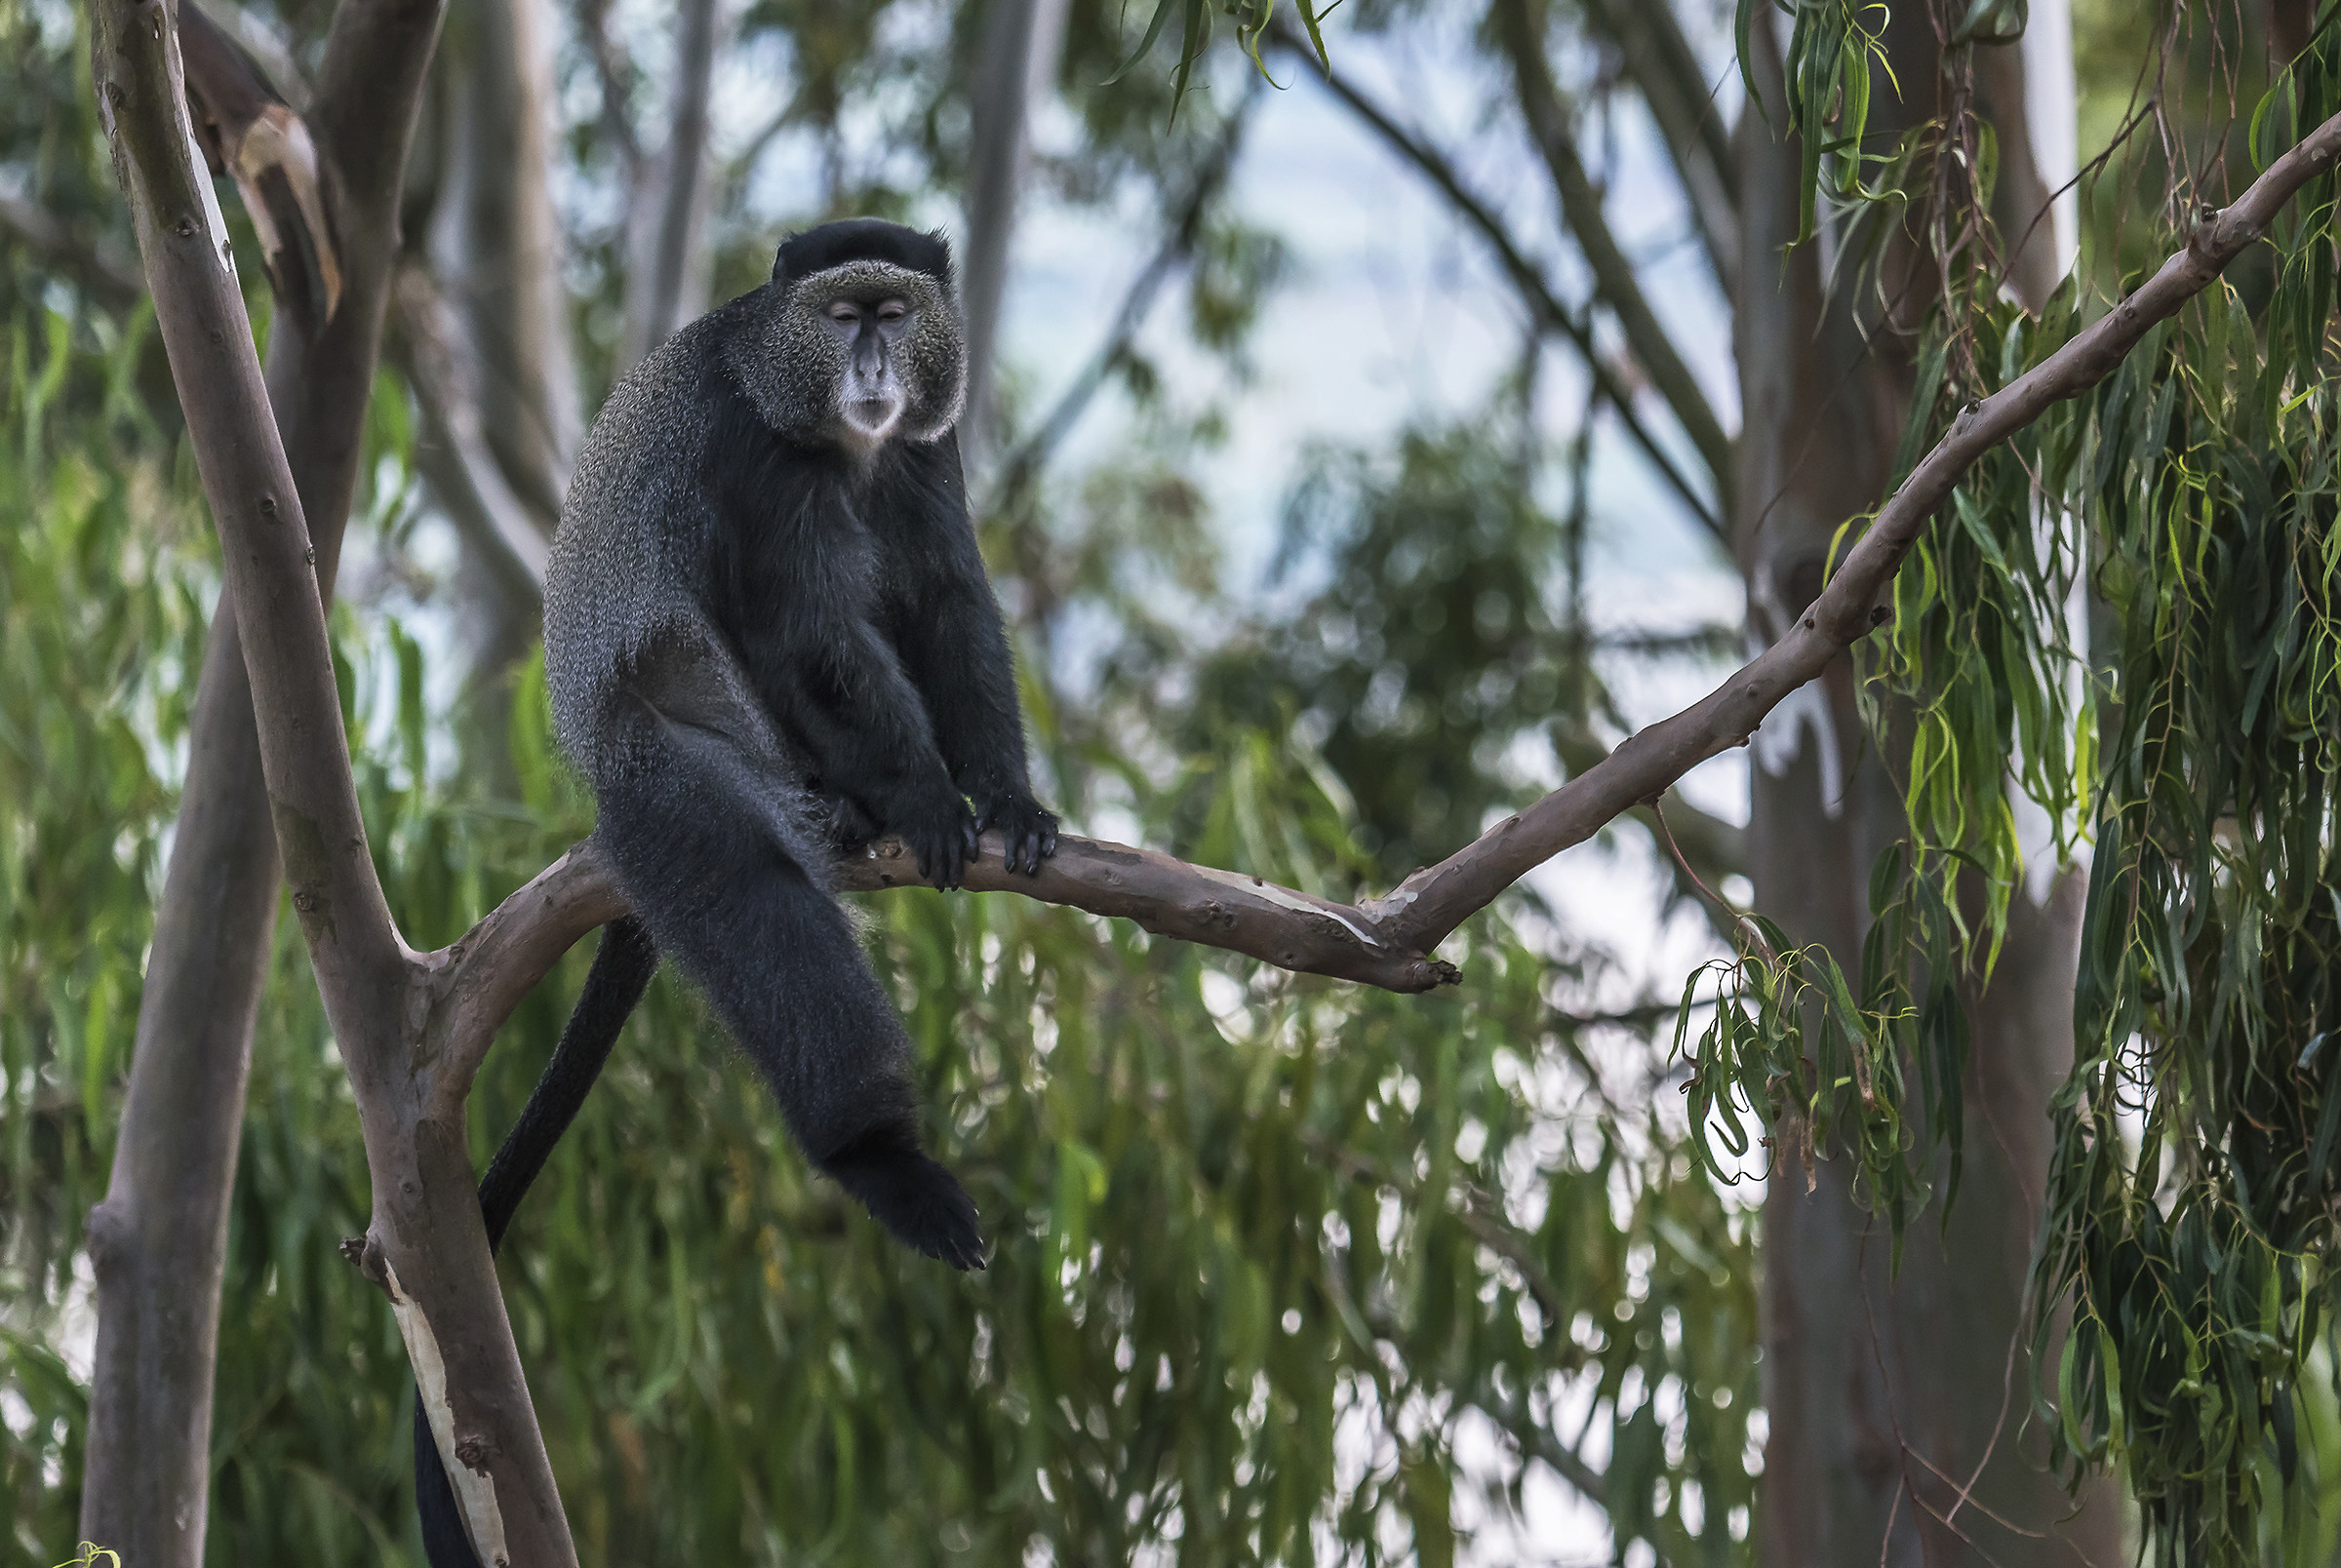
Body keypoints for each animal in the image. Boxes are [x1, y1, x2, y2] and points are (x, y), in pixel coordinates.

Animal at [415, 219, 1058, 1568]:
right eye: (841, 311)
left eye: (895, 309)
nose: (872, 364)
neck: (839, 437)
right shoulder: (754, 464)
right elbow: (806, 629)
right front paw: (928, 799)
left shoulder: (928, 452)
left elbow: (949, 601)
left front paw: (1008, 799)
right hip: (672, 768)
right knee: (762, 905)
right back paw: (878, 1154)